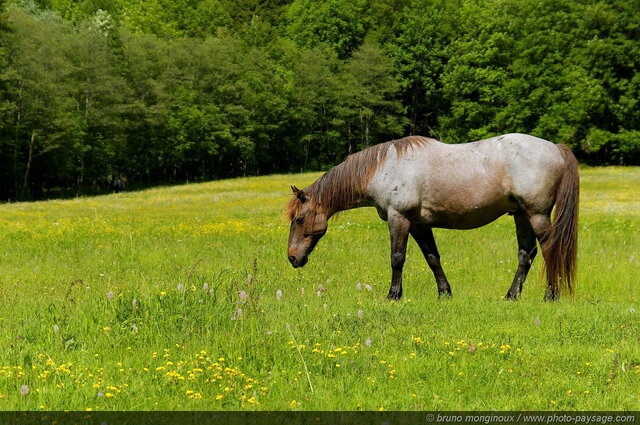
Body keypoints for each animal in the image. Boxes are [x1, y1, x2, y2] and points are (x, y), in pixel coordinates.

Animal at [288, 134, 576, 300]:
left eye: (299, 219)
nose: (292, 258)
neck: (384, 168)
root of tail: (556, 148)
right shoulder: (418, 224)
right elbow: (432, 258)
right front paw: (445, 293)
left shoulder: (399, 218)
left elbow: (397, 258)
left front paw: (393, 296)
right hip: (521, 215)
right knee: (526, 254)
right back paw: (511, 296)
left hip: (536, 214)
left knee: (549, 249)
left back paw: (551, 295)